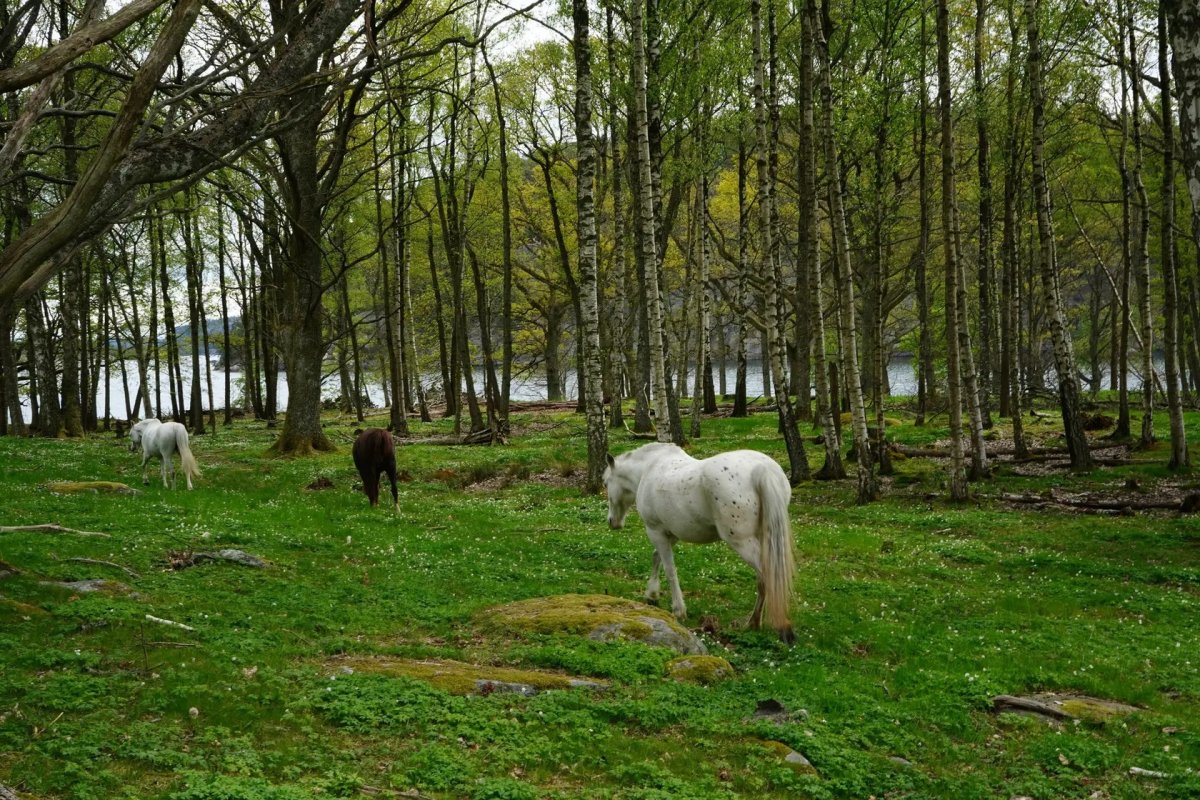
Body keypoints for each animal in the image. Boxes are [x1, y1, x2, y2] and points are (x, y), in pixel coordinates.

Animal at [603, 442, 796, 643]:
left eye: (606, 483)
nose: (612, 522)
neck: (648, 468)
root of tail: (761, 469)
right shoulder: (671, 534)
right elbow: (657, 558)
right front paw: (652, 594)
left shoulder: (655, 531)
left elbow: (669, 569)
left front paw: (678, 610)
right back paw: (757, 623)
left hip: (743, 542)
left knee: (767, 577)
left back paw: (765, 624)